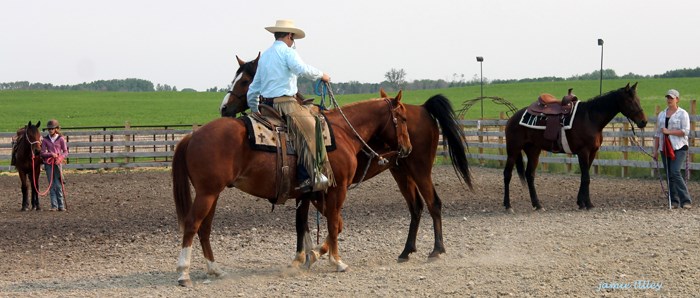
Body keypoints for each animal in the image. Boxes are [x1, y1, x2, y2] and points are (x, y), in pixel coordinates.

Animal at [216, 55, 474, 264]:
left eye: (244, 81)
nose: (223, 108)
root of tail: (422, 108)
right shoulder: (311, 192)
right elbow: (310, 223)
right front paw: (310, 254)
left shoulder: (324, 190)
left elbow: (333, 223)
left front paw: (318, 253)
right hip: (401, 171)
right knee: (416, 207)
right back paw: (406, 251)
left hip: (420, 169)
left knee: (433, 203)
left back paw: (437, 250)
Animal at [504, 82, 644, 211]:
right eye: (630, 101)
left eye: (638, 100)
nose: (644, 121)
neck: (590, 118)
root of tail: (513, 118)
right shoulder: (583, 152)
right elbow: (586, 178)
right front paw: (588, 204)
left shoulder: (592, 152)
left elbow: (584, 177)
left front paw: (581, 202)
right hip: (513, 150)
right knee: (507, 174)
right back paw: (507, 205)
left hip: (533, 150)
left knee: (529, 175)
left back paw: (537, 205)